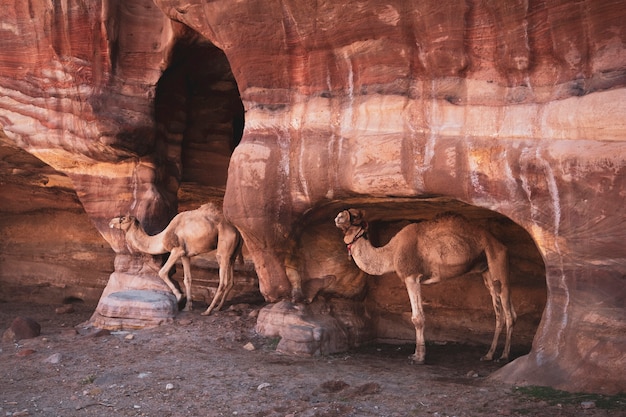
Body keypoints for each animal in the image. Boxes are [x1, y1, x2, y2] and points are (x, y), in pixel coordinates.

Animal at [109, 202, 241, 316]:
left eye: (122, 219)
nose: (111, 221)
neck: (162, 237)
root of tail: (236, 230)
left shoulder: (177, 250)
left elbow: (162, 272)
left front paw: (179, 296)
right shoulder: (185, 255)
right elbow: (187, 279)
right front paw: (188, 307)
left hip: (224, 242)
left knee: (223, 278)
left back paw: (208, 311)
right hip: (233, 252)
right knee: (230, 278)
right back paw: (218, 307)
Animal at [334, 208, 516, 364]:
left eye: (355, 215)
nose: (338, 216)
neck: (391, 253)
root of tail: (502, 245)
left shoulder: (412, 277)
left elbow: (417, 318)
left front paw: (419, 357)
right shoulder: (414, 279)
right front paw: (417, 354)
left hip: (498, 263)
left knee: (508, 313)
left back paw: (504, 356)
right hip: (487, 271)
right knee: (501, 311)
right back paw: (489, 355)